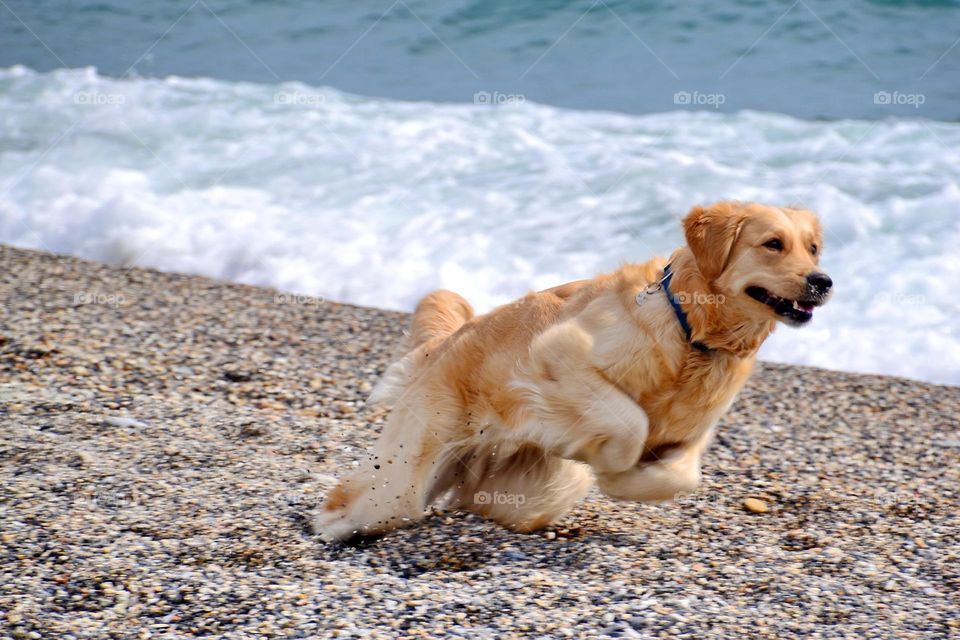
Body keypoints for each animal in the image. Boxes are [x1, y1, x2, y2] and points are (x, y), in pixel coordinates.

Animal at [314, 201, 824, 540]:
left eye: (814, 249)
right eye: (773, 244)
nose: (824, 281)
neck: (690, 328)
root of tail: (451, 339)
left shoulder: (692, 431)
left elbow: (682, 475)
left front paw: (633, 481)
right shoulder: (558, 354)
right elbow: (631, 422)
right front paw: (614, 469)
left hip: (527, 489)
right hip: (405, 472)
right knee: (364, 501)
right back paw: (329, 527)